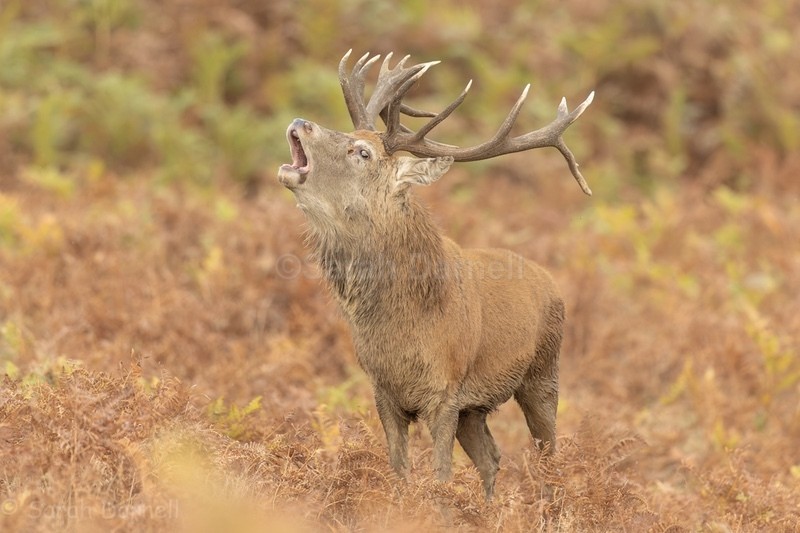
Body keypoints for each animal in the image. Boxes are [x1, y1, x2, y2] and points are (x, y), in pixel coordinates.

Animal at [277, 51, 594, 500]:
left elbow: (441, 476)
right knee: (491, 456)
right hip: (475, 407)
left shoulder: (445, 392)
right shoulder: (384, 391)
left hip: (543, 372)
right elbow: (398, 469)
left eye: (362, 152)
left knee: (549, 454)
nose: (301, 121)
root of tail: (551, 283)